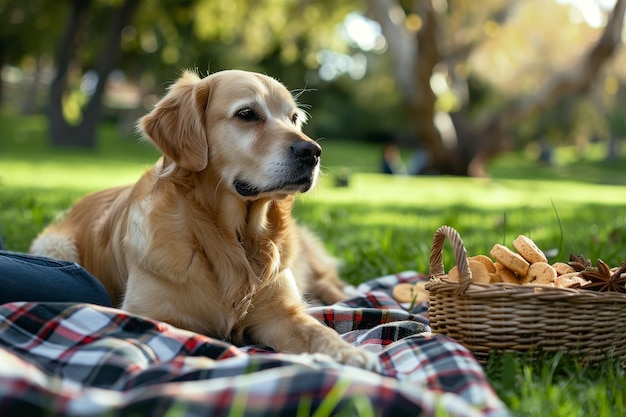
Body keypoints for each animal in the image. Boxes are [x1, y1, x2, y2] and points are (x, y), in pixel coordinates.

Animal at [31, 70, 378, 368]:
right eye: (247, 114)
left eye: (294, 118)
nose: (313, 152)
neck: (235, 239)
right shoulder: (148, 315)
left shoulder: (282, 312)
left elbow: (318, 330)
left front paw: (349, 353)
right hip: (54, 246)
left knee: (332, 285)